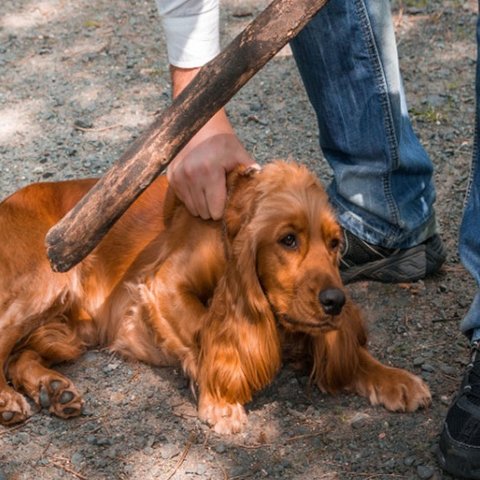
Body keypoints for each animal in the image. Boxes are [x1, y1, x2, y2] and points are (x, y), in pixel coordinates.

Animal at [0, 161, 432, 436]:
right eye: (287, 239)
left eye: (335, 243)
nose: (335, 302)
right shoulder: (164, 284)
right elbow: (203, 334)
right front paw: (221, 400)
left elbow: (354, 356)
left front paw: (395, 379)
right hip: (45, 282)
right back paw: (8, 401)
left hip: (67, 330)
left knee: (20, 356)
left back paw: (53, 389)